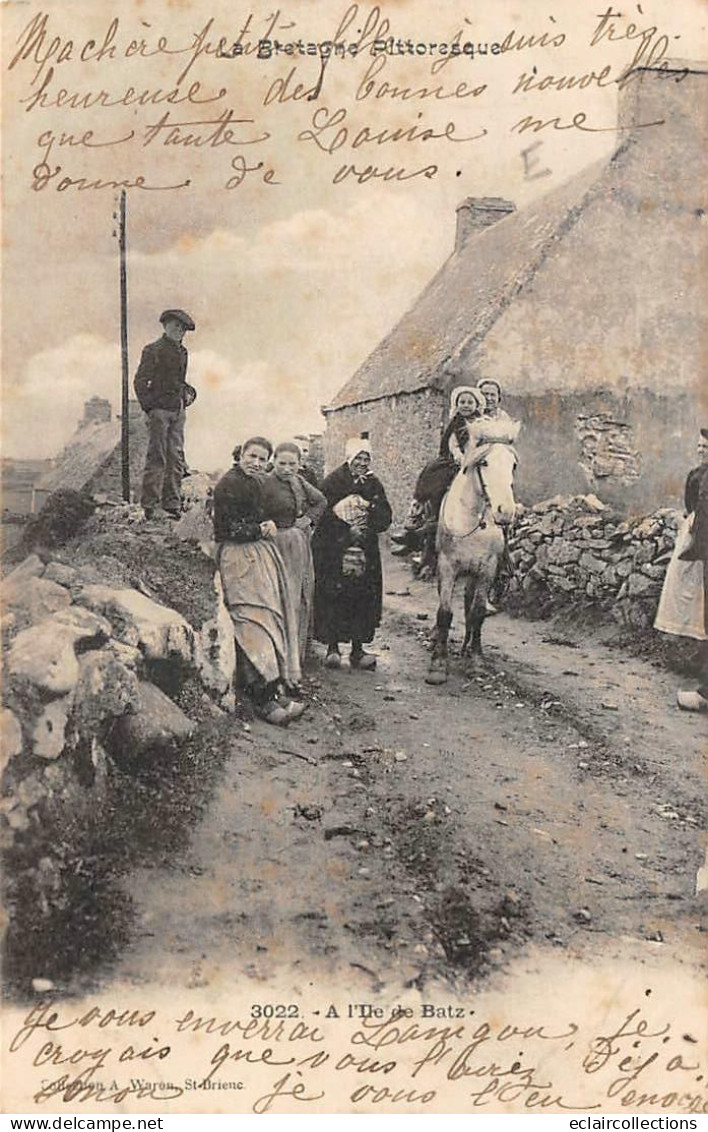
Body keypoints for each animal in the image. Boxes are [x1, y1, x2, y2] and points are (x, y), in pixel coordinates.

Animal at [425, 414, 518, 679]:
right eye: (484, 462)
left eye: (513, 465)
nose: (505, 512)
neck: (473, 520)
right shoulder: (448, 566)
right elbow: (445, 612)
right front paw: (439, 662)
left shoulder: (487, 569)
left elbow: (477, 612)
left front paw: (476, 659)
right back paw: (437, 638)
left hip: (474, 574)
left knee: (469, 606)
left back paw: (467, 647)